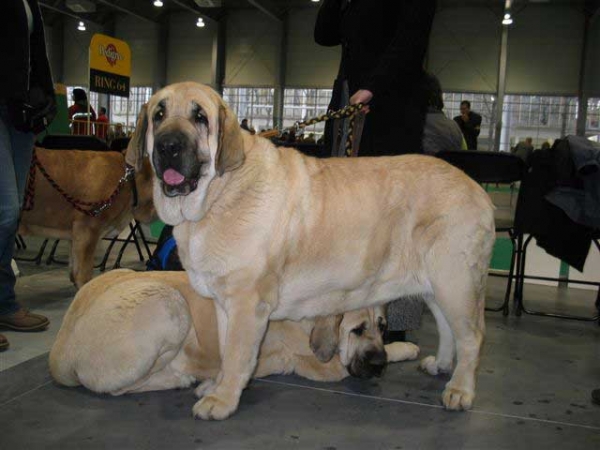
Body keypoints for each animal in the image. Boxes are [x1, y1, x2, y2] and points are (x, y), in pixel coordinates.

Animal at [125, 80, 492, 418]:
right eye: (158, 115)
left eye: (200, 116)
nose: (168, 146)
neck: (220, 191)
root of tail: (479, 190)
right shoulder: (224, 302)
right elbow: (226, 349)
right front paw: (217, 387)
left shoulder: (247, 302)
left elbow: (237, 355)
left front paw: (222, 399)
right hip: (437, 286)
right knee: (448, 328)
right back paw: (441, 365)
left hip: (455, 282)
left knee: (472, 337)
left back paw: (460, 391)